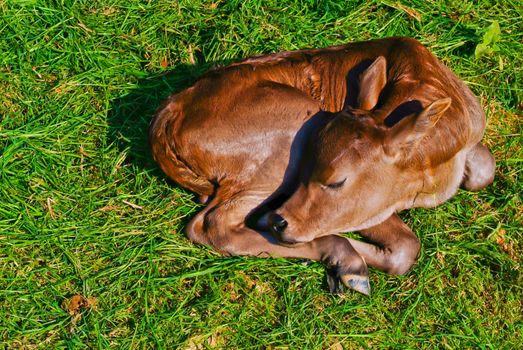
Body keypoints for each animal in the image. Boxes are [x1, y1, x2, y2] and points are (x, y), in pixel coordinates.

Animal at [148, 37, 496, 296]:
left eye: (336, 181)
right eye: (309, 168)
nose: (279, 221)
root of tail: (170, 110)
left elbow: (485, 168)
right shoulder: (366, 206)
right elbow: (405, 246)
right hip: (288, 133)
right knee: (213, 226)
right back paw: (345, 257)